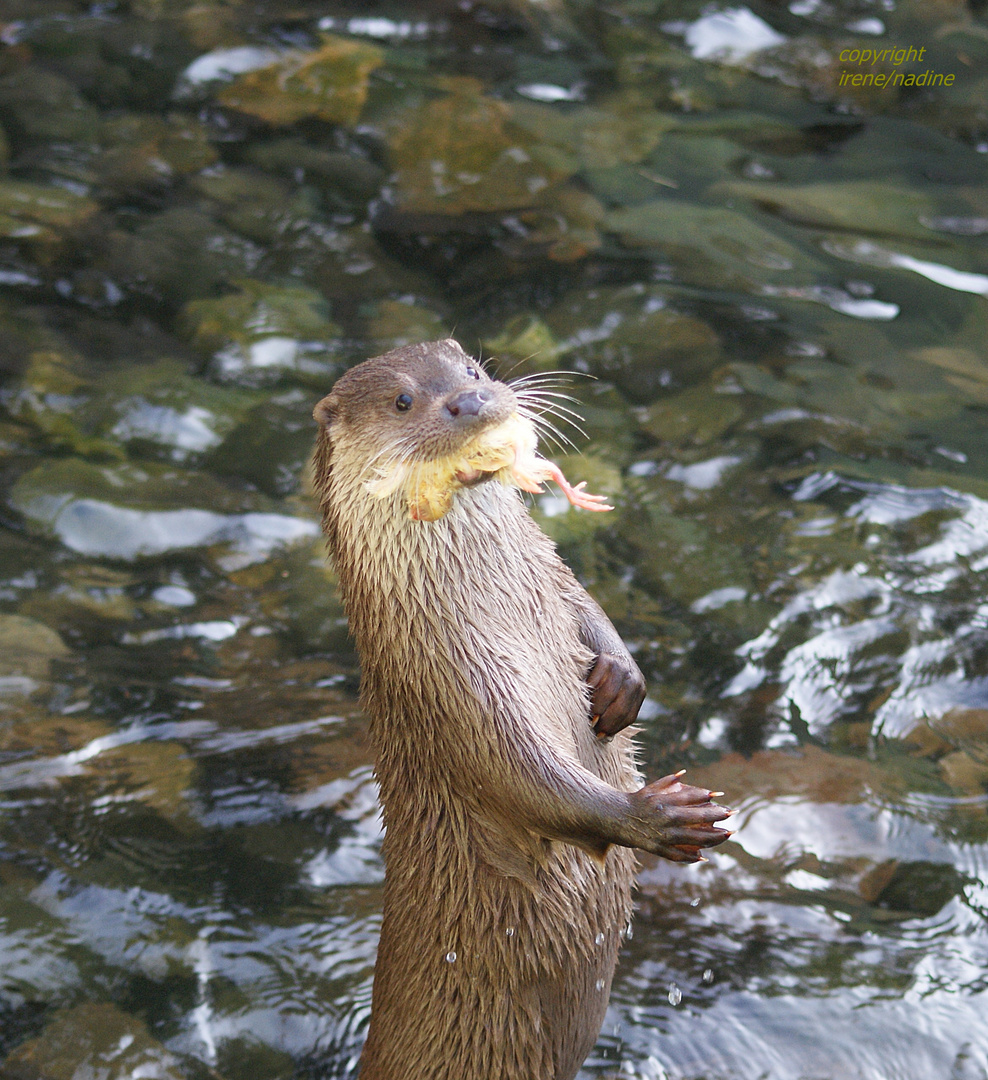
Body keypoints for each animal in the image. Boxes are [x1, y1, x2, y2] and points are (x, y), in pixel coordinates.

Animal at [313, 339, 729, 1080]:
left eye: (472, 372)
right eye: (403, 401)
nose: (472, 401)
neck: (502, 606)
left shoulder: (551, 576)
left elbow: (587, 605)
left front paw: (621, 679)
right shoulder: (453, 686)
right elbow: (523, 777)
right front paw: (654, 815)